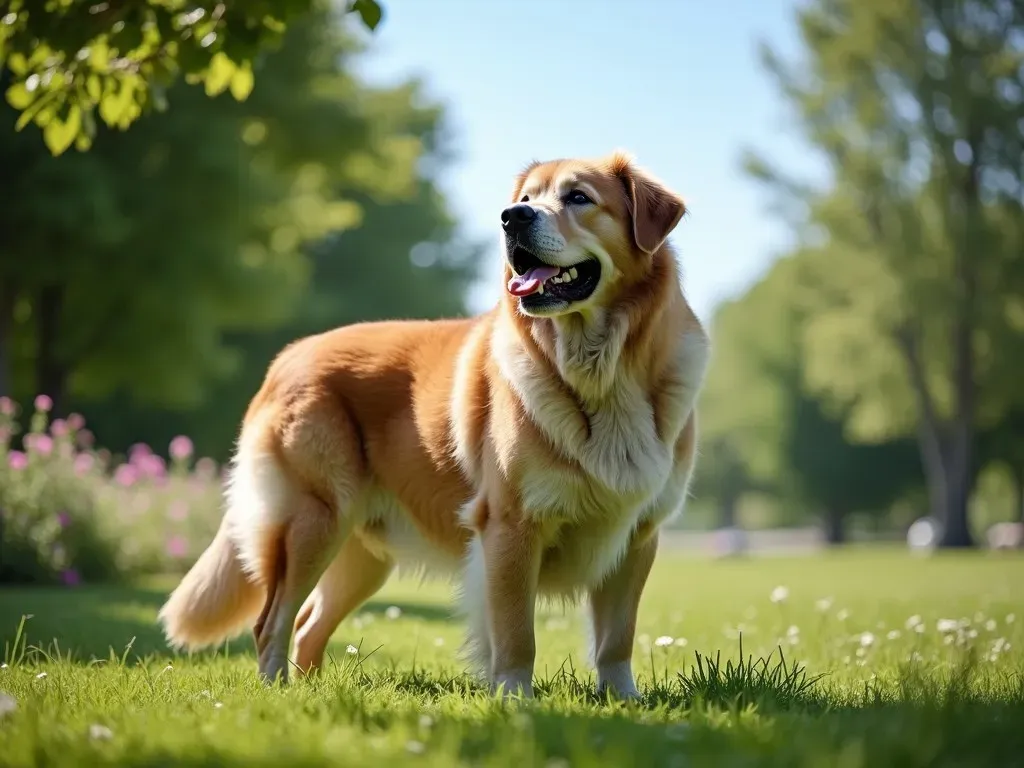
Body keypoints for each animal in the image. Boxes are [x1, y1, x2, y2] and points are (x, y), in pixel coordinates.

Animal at [155, 151, 708, 704]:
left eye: (578, 198)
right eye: (528, 198)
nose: (512, 218)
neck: (602, 370)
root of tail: (289, 355)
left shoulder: (638, 534)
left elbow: (617, 637)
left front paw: (624, 701)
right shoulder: (509, 527)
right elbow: (516, 635)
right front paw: (515, 701)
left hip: (361, 553)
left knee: (308, 623)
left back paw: (312, 694)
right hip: (314, 520)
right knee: (271, 621)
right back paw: (279, 694)